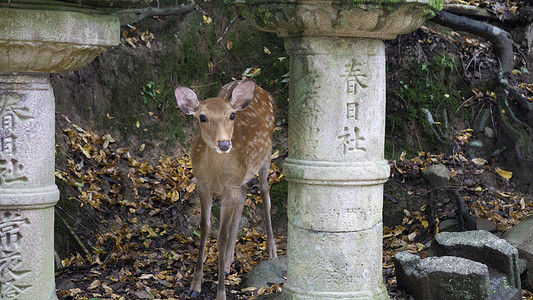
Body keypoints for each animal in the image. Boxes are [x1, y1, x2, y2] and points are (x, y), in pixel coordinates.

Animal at [175, 80, 278, 300]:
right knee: (245, 194)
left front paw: (221, 293)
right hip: (240, 179)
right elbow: (205, 228)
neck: (216, 175)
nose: (224, 143)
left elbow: (221, 237)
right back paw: (229, 263)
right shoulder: (203, 185)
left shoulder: (229, 189)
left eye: (231, 115)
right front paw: (195, 286)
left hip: (267, 152)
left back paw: (272, 253)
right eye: (202, 117)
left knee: (264, 190)